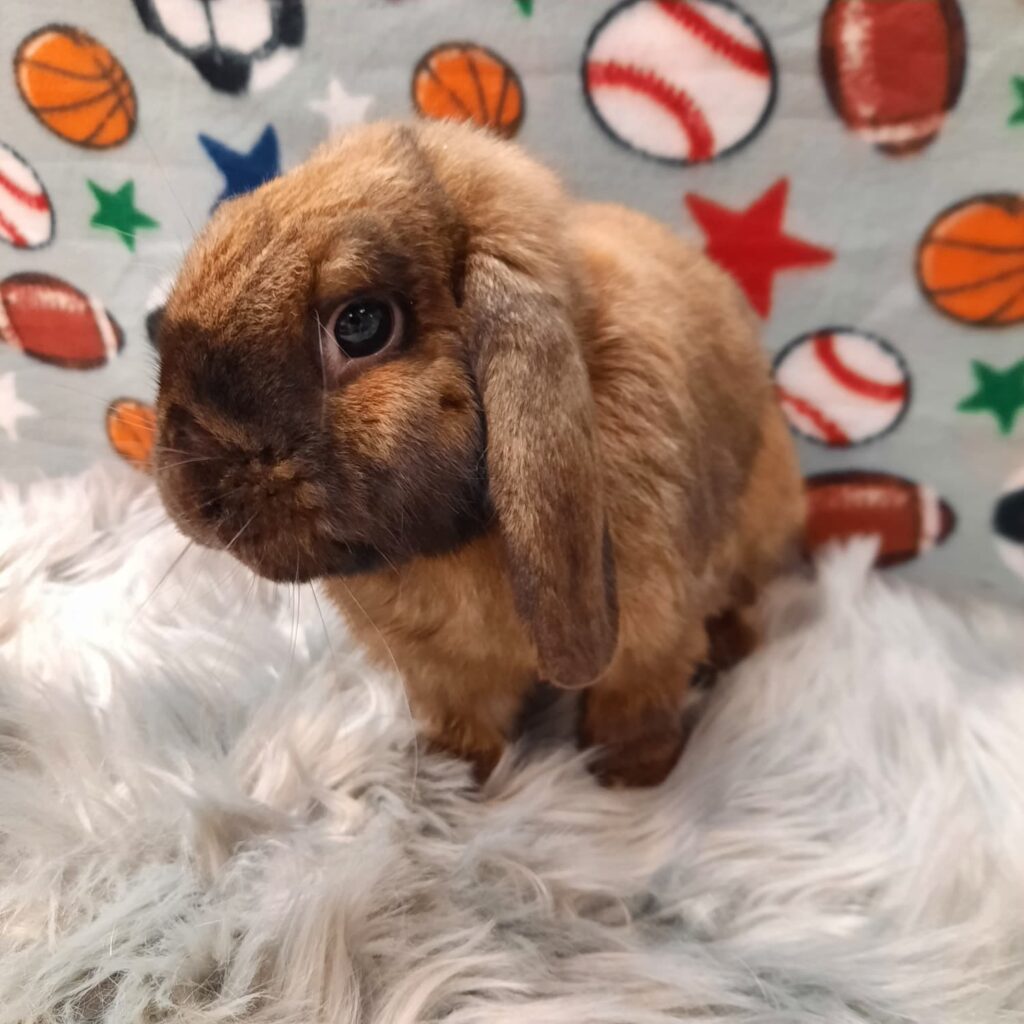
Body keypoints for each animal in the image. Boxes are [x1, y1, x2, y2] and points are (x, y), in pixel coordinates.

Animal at [154, 119, 805, 788]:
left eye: (360, 323)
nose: (190, 492)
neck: (465, 543)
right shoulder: (445, 673)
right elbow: (465, 724)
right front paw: (448, 779)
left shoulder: (653, 640)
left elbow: (635, 705)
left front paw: (631, 776)